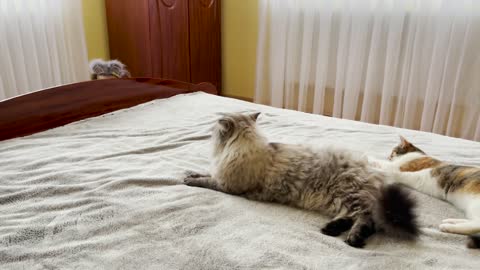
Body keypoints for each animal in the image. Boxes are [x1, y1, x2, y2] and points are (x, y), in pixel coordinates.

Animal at [182, 113, 418, 248]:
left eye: (214, 133)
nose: (210, 134)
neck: (243, 146)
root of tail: (374, 171)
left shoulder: (227, 185)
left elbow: (206, 181)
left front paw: (188, 180)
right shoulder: (220, 175)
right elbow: (204, 173)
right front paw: (189, 173)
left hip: (350, 195)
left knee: (367, 220)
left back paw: (352, 239)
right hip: (339, 201)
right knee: (353, 217)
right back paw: (330, 229)